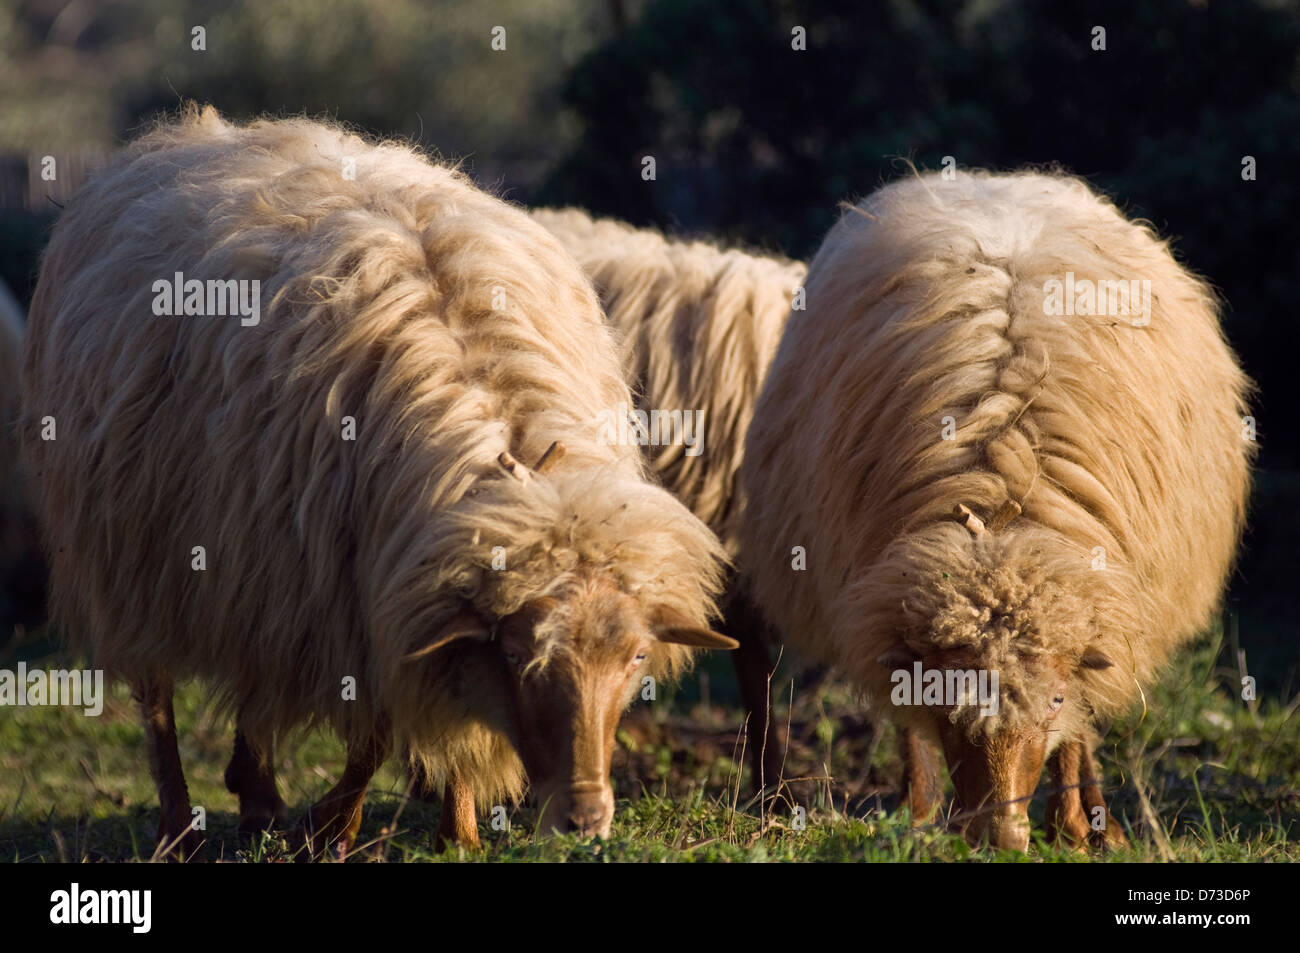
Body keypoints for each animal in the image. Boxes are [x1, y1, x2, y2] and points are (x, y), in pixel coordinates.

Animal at [20, 107, 738, 858]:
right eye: (516, 654)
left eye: (636, 656)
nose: (585, 818)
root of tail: (192, 131)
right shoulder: (350, 596)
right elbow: (378, 730)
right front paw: (334, 826)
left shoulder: (392, 586)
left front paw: (457, 832)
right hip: (132, 549)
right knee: (157, 696)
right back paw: (178, 824)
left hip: (250, 559)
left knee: (252, 675)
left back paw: (258, 796)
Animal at [738, 169, 1253, 847]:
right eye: (941, 695)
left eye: (1053, 700)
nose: (1000, 837)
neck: (1004, 513)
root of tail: (989, 179)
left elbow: (1078, 728)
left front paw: (1080, 828)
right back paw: (920, 809)